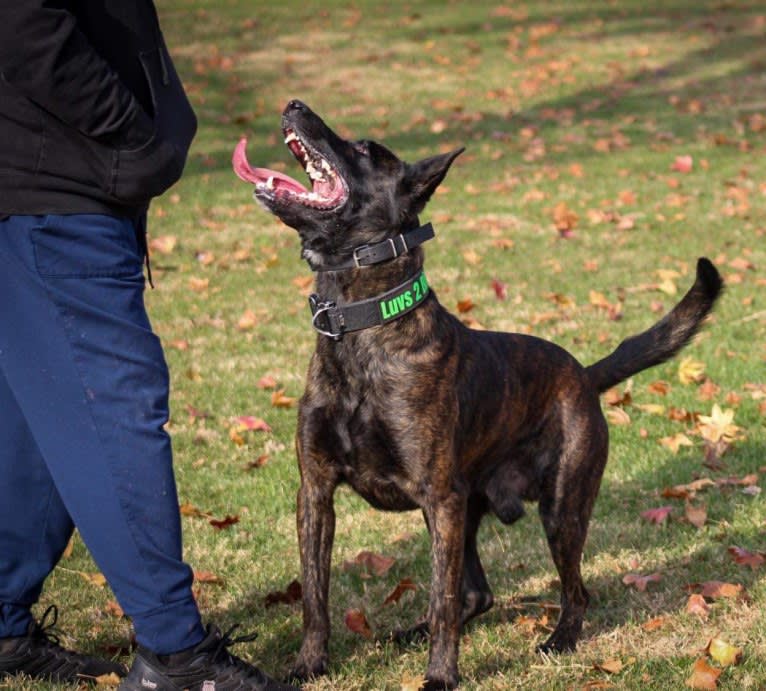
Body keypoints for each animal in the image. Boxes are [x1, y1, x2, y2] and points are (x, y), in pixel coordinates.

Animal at [234, 100, 728, 688]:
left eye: (365, 150)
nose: (294, 105)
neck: (364, 331)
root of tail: (583, 375)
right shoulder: (316, 493)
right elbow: (315, 593)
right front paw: (309, 664)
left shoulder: (439, 498)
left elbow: (442, 596)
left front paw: (441, 676)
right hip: (471, 508)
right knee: (478, 593)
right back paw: (415, 631)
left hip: (559, 509)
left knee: (570, 591)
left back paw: (559, 639)